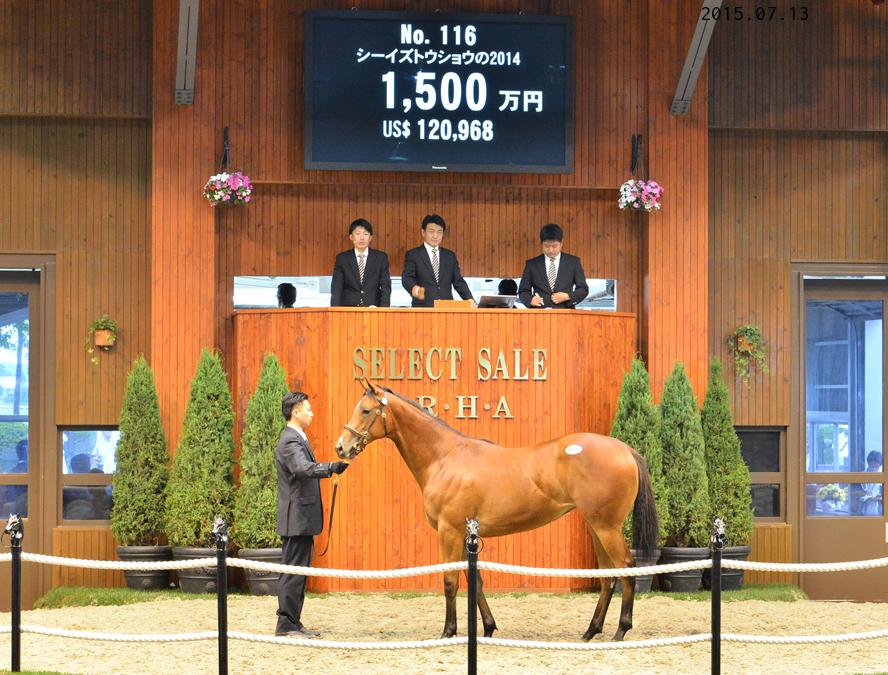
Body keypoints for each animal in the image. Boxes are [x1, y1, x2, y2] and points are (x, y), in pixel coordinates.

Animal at [334, 382, 659, 642]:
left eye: (365, 410)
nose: (341, 448)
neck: (445, 457)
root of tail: (624, 449)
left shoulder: (449, 531)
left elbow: (450, 582)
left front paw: (448, 631)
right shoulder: (467, 534)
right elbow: (474, 581)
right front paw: (488, 628)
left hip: (607, 527)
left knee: (627, 567)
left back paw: (621, 630)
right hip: (596, 526)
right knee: (608, 576)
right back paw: (591, 631)